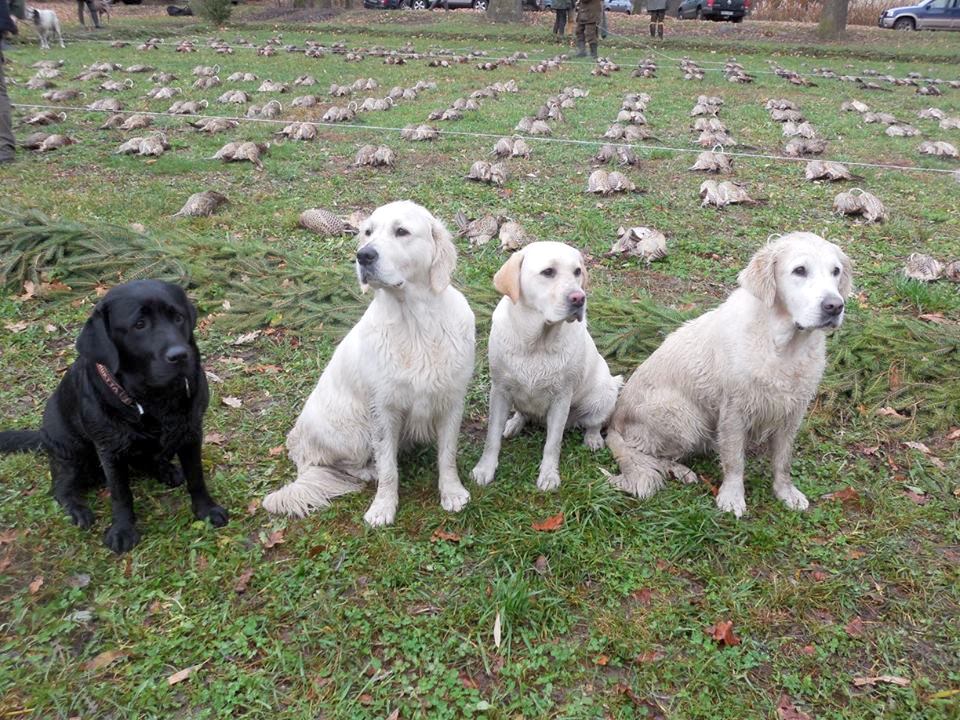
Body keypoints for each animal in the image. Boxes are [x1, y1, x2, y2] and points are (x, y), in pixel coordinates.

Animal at [262, 200, 476, 524]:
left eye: (402, 231)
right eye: (367, 232)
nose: (363, 255)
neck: (415, 322)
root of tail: (296, 445)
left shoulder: (451, 400)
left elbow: (447, 455)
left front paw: (451, 492)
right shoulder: (382, 409)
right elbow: (388, 467)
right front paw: (383, 507)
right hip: (353, 430)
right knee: (343, 464)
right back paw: (367, 471)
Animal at [470, 240, 624, 490]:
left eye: (577, 272)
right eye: (548, 272)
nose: (579, 298)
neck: (537, 342)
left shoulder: (561, 398)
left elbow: (553, 444)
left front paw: (549, 475)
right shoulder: (500, 390)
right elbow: (491, 437)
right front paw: (485, 468)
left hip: (603, 394)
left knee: (594, 422)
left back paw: (592, 438)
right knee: (522, 413)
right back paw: (513, 424)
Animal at [608, 233, 856, 520]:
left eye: (835, 271)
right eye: (800, 270)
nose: (835, 306)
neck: (783, 347)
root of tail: (613, 421)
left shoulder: (792, 411)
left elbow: (782, 461)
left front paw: (786, 492)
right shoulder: (734, 410)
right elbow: (735, 461)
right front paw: (732, 497)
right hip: (683, 417)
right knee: (647, 452)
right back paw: (681, 470)